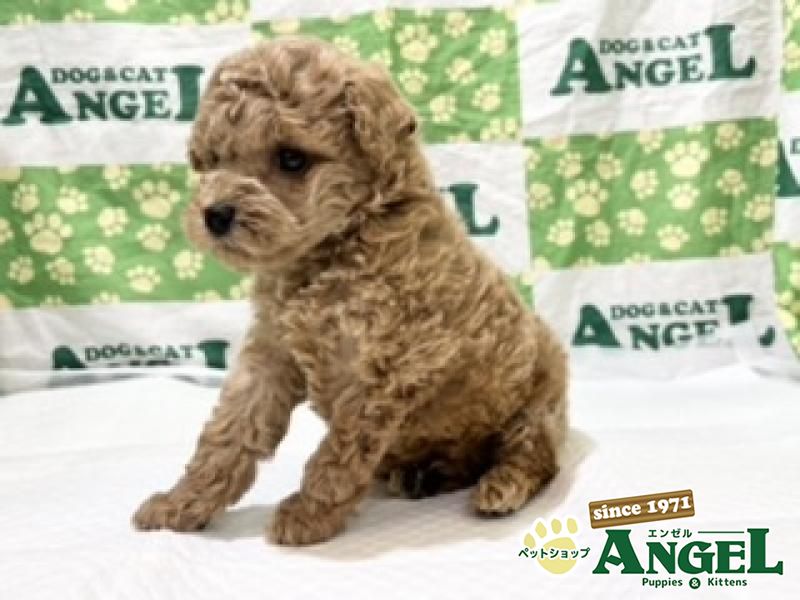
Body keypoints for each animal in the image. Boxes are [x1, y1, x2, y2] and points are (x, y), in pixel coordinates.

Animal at [133, 37, 568, 546]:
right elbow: (229, 432)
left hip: (539, 403)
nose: (215, 214)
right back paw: (426, 474)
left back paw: (501, 486)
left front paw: (308, 516)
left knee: (535, 452)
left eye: (292, 159)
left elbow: (338, 452)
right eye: (217, 158)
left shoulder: (385, 367)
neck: (332, 250)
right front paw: (179, 504)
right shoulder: (272, 352)